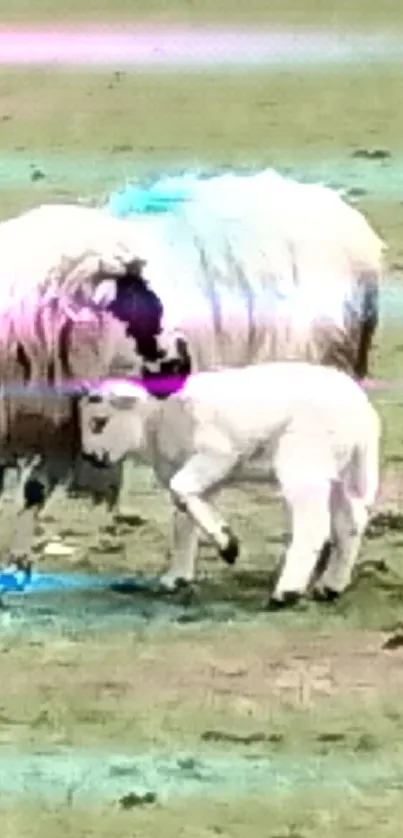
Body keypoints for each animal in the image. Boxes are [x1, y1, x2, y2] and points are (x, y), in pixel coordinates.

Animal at [79, 364, 382, 608]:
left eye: (99, 422)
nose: (90, 457)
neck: (155, 421)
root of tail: (362, 410)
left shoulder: (216, 455)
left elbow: (181, 491)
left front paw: (228, 546)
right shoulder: (197, 471)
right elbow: (183, 515)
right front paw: (178, 576)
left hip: (303, 460)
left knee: (314, 526)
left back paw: (286, 593)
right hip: (342, 469)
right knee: (351, 522)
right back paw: (330, 587)